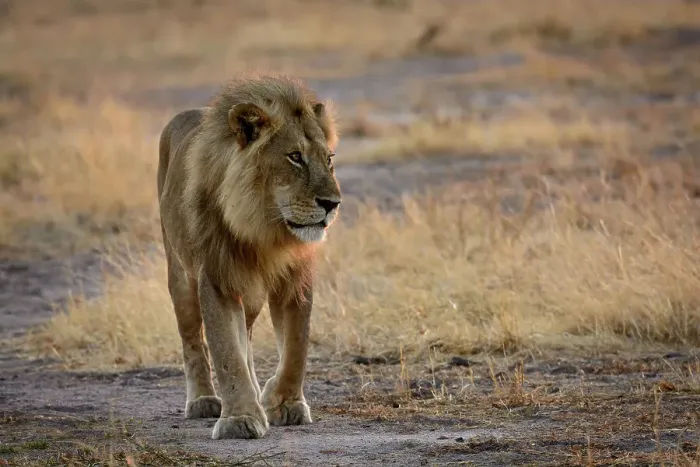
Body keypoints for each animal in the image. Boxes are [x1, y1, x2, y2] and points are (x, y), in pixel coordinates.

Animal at [157, 74, 341, 440]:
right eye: (295, 157)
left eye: (328, 159)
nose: (332, 204)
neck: (266, 230)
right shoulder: (217, 279)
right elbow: (227, 352)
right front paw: (239, 418)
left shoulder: (296, 279)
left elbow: (296, 348)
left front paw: (283, 402)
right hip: (180, 277)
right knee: (193, 341)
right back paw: (203, 400)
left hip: (251, 296)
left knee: (249, 338)